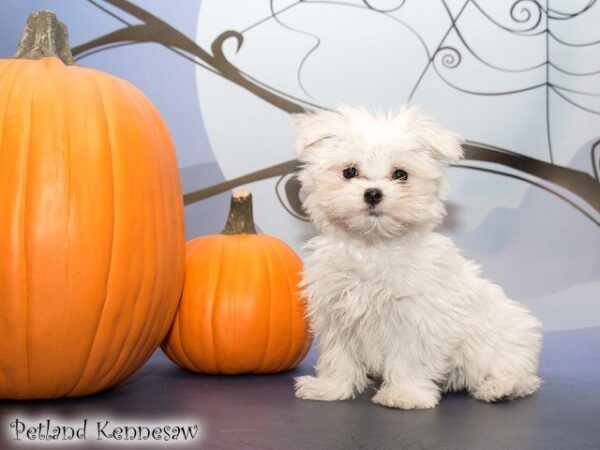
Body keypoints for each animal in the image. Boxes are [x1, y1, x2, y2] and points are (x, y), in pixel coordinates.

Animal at [292, 104, 540, 408]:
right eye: (349, 172)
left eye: (401, 174)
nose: (373, 193)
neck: (374, 247)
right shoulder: (337, 314)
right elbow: (338, 357)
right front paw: (331, 388)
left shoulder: (419, 319)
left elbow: (409, 359)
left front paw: (404, 394)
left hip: (504, 342)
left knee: (519, 375)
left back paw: (499, 387)